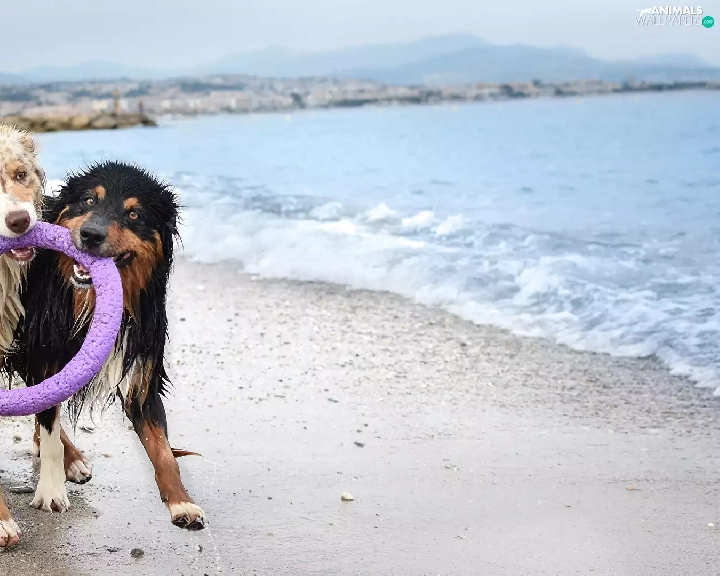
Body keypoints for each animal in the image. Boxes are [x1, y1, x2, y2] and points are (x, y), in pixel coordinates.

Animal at [3, 161, 204, 547]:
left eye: (134, 214)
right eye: (87, 201)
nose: (91, 235)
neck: (87, 299)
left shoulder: (140, 371)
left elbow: (162, 449)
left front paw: (182, 503)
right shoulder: (45, 358)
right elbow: (49, 422)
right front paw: (52, 491)